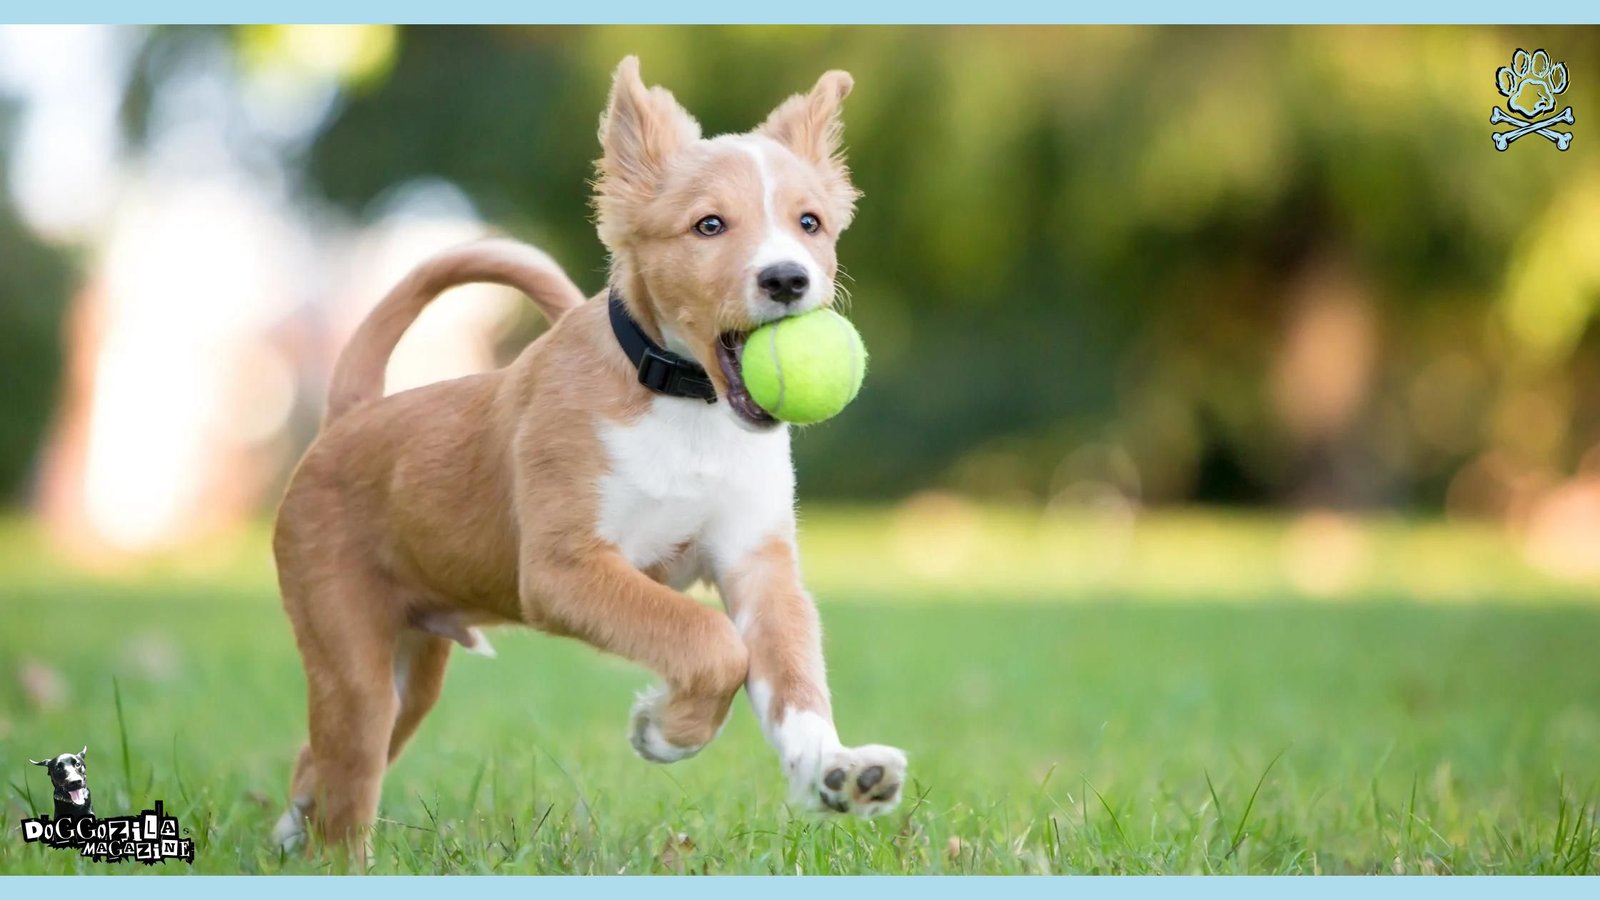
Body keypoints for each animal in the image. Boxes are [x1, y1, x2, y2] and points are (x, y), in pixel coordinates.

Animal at [268, 57, 908, 851]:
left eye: (809, 223)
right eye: (709, 225)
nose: (787, 278)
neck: (686, 408)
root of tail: (351, 416)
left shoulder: (758, 566)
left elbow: (792, 677)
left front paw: (835, 769)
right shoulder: (564, 568)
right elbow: (711, 641)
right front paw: (667, 731)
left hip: (411, 673)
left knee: (315, 763)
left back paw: (287, 838)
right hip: (352, 658)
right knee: (345, 788)